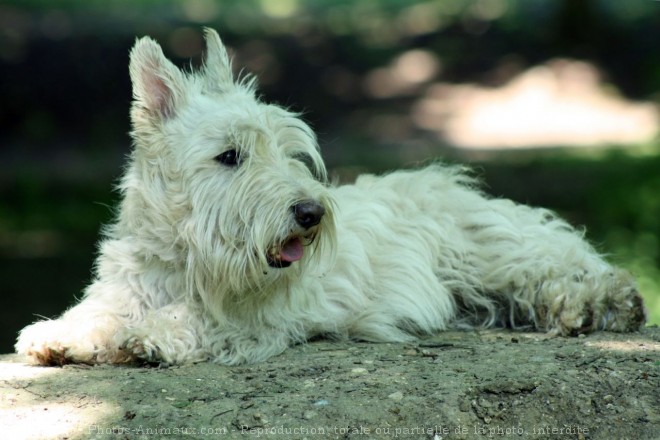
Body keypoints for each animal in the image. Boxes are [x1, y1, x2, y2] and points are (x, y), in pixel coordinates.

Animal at [14, 28, 644, 364]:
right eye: (230, 156)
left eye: (289, 150)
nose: (310, 213)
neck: (185, 259)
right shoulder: (127, 286)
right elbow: (98, 311)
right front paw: (59, 334)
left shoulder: (263, 315)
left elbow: (195, 318)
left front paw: (150, 335)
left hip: (492, 253)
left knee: (564, 269)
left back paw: (605, 303)